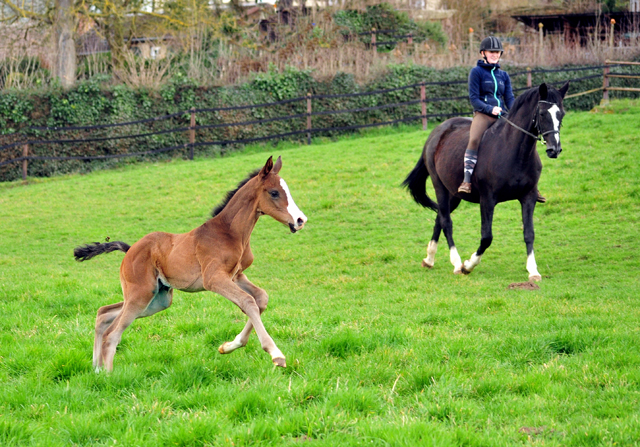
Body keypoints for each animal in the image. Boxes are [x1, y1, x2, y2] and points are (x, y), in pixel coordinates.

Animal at [72, 156, 308, 372]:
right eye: (274, 192)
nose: (300, 220)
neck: (229, 232)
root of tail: (129, 250)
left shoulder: (236, 275)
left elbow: (261, 298)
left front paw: (228, 346)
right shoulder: (214, 279)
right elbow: (248, 302)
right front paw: (275, 354)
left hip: (157, 300)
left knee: (103, 313)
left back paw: (96, 369)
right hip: (141, 295)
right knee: (112, 333)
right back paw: (108, 377)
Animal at [404, 82, 568, 282]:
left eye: (561, 114)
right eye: (543, 113)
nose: (555, 150)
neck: (514, 152)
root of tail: (436, 132)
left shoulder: (528, 197)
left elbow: (529, 233)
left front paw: (533, 271)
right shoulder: (487, 199)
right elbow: (487, 237)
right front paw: (468, 265)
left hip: (454, 194)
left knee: (440, 218)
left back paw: (429, 259)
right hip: (439, 187)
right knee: (447, 222)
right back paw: (457, 263)